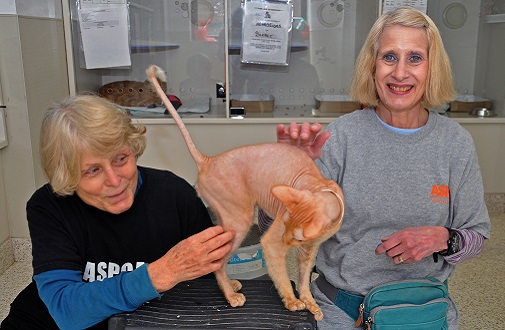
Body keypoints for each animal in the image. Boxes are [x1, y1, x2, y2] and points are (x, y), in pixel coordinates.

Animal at [145, 64, 342, 320]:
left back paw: (231, 285)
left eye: (298, 237)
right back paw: (231, 296)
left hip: (225, 221)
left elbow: (304, 280)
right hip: (239, 221)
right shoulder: (272, 243)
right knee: (218, 263)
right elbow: (283, 277)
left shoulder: (308, 251)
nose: (287, 241)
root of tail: (208, 160)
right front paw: (292, 301)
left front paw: (310, 303)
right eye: (287, 232)